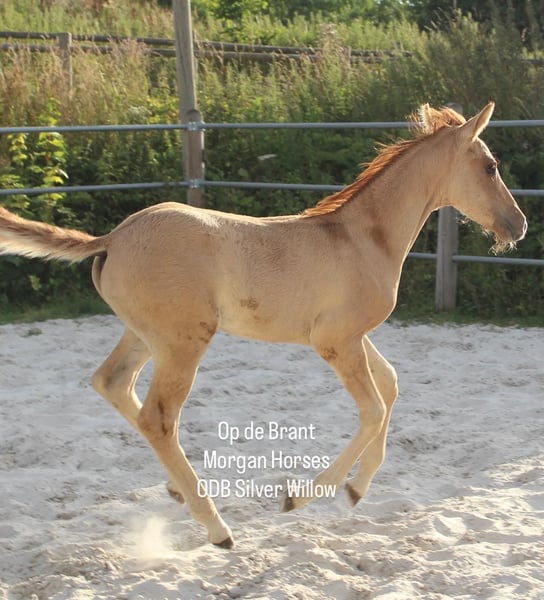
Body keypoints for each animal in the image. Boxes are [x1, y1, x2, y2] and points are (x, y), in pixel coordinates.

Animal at [0, 102, 527, 549]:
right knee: (157, 417)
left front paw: (356, 490)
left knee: (112, 383)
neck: (363, 239)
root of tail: (111, 238)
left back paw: (179, 493)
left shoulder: (351, 337)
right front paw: (302, 496)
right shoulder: (335, 341)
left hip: (145, 336)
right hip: (183, 341)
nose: (518, 225)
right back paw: (217, 528)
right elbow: (373, 409)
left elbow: (391, 386)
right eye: (490, 167)